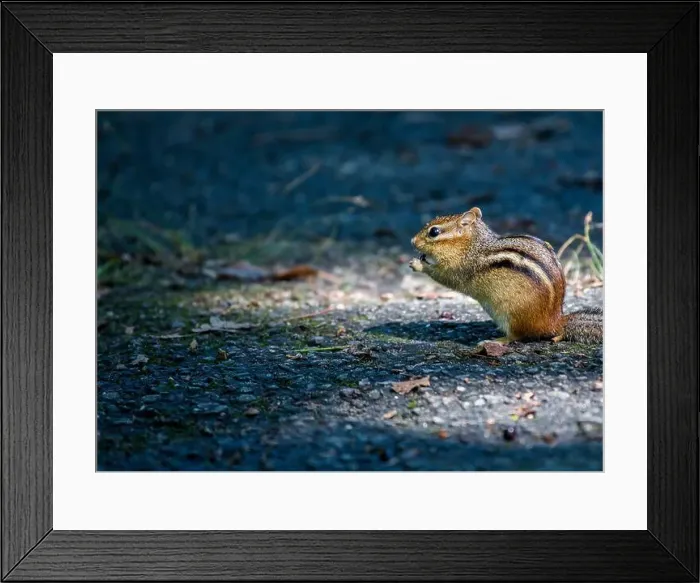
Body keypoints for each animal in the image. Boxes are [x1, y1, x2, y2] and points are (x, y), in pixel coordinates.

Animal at [409, 207, 602, 344]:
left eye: (434, 232)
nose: (412, 241)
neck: (471, 245)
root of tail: (554, 321)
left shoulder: (456, 269)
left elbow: (441, 275)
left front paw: (418, 264)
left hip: (510, 314)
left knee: (516, 336)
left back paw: (496, 340)